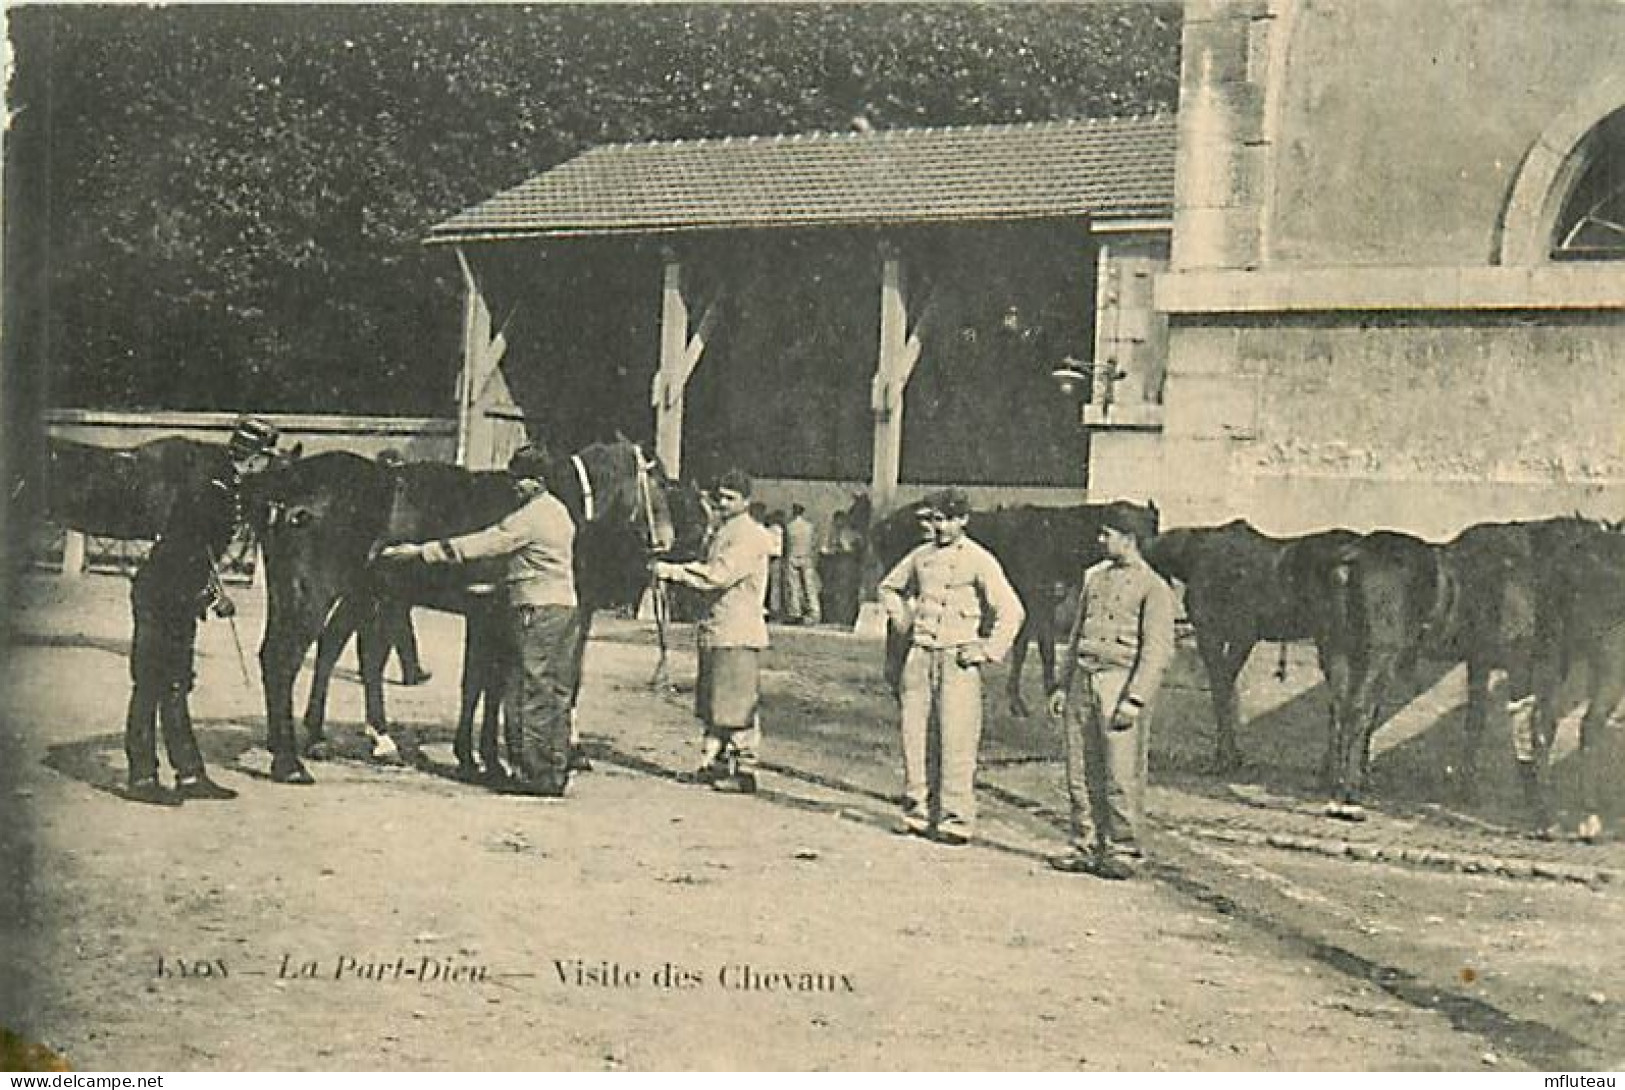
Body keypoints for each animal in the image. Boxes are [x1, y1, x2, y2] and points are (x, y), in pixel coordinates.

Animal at [250, 438, 695, 789]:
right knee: (287, 659)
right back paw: (292, 762)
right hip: (316, 595)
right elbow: (500, 684)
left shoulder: (491, 618)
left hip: (334, 594)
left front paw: (475, 757)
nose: (665, 542)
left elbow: (482, 685)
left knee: (320, 650)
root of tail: (288, 484)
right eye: (658, 482)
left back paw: (324, 739)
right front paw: (496, 759)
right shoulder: (504, 616)